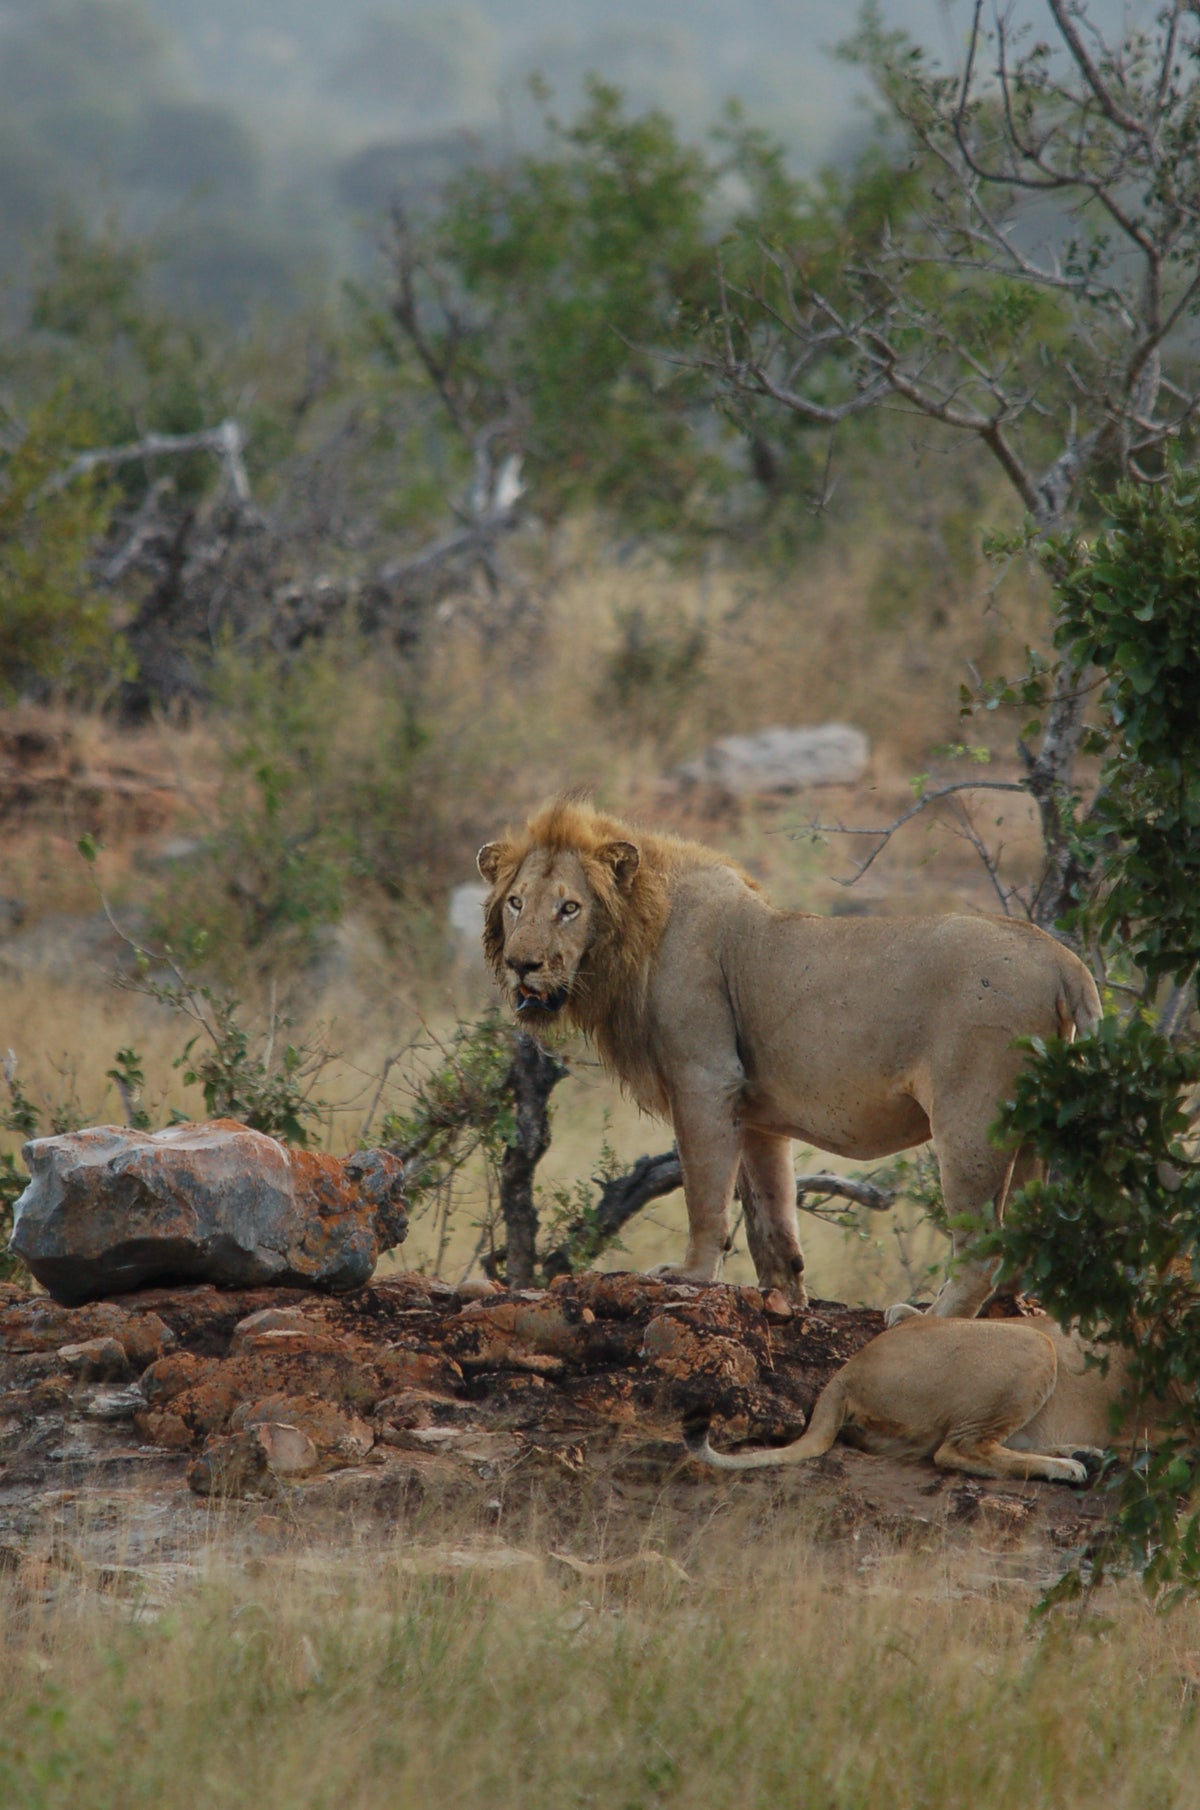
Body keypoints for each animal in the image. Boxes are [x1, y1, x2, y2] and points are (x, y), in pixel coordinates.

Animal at [478, 798, 1101, 1317]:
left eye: (569, 908)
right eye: (516, 903)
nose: (523, 965)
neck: (636, 934)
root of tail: (1062, 957)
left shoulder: (706, 1080)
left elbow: (704, 1195)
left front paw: (691, 1274)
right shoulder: (756, 1113)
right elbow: (772, 1219)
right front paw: (786, 1298)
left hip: (969, 1120)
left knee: (983, 1248)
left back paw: (925, 1319)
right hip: (1032, 1128)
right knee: (1022, 1238)